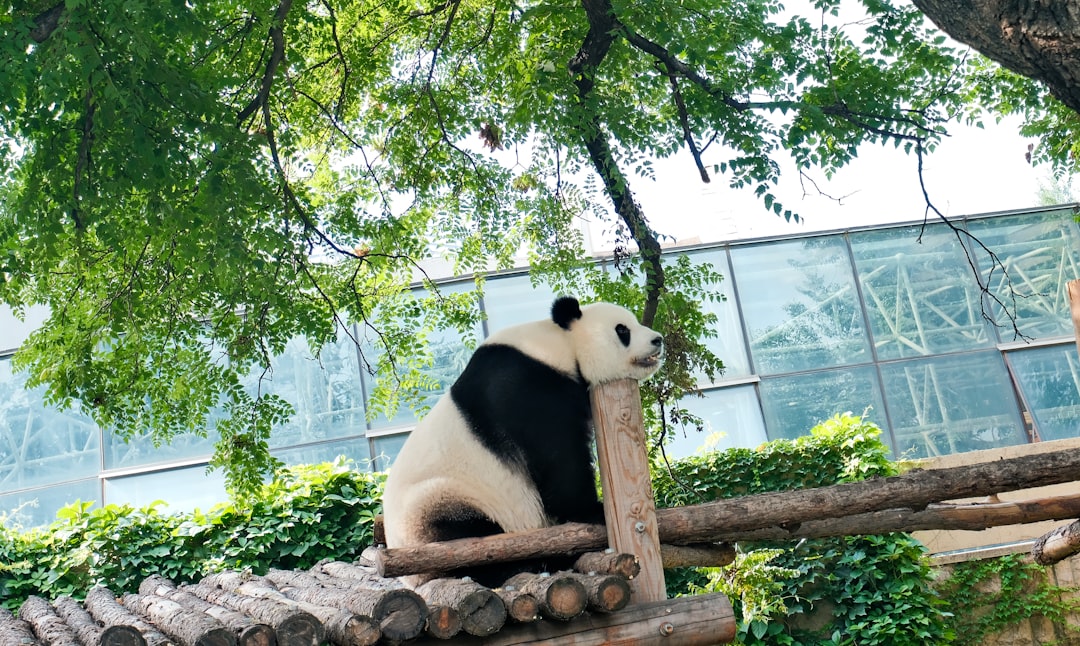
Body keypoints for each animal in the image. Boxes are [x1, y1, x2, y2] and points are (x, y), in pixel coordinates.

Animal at [381, 295, 664, 585]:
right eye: (622, 330)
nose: (658, 339)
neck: (560, 345)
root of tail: (413, 579)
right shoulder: (525, 388)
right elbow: (559, 458)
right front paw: (592, 510)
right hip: (437, 504)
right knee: (467, 542)